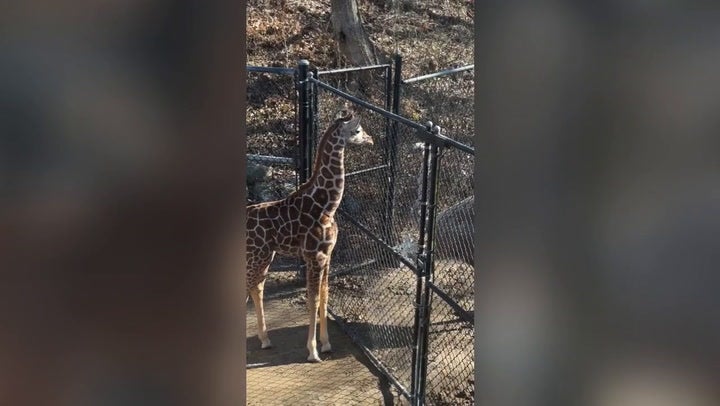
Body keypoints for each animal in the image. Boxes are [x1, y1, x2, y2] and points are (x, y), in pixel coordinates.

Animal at [246, 106, 373, 362]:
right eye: (357, 130)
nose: (371, 139)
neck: (327, 205)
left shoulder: (327, 255)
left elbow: (324, 296)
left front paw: (326, 344)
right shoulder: (315, 257)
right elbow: (312, 299)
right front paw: (313, 351)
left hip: (265, 256)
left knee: (256, 287)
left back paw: (265, 339)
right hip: (254, 255)